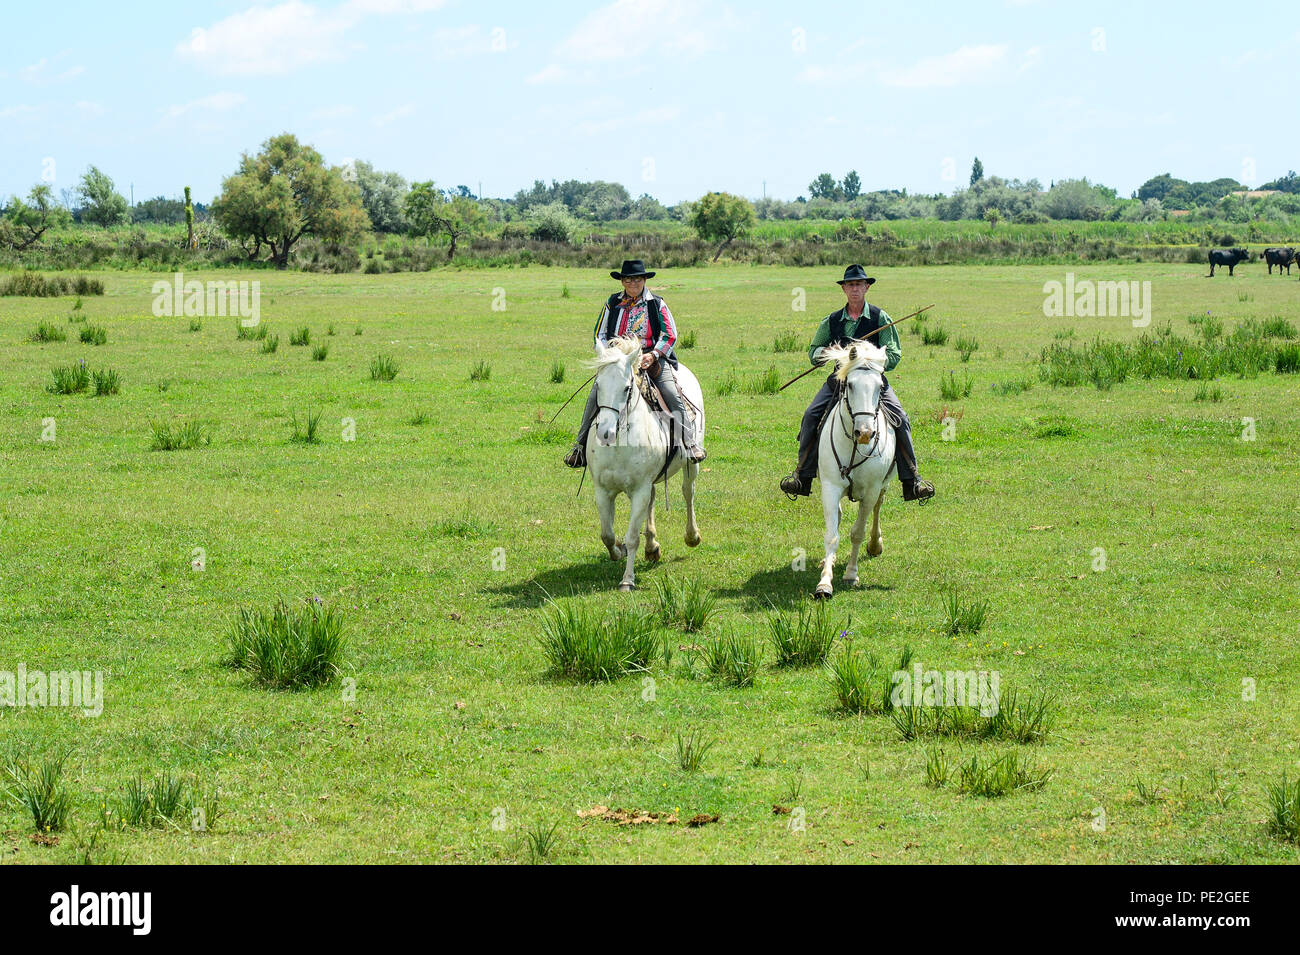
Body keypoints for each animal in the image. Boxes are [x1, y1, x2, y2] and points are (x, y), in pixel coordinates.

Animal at [587, 335, 702, 589]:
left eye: (627, 387)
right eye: (598, 385)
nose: (605, 433)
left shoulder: (639, 489)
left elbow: (632, 537)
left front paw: (627, 581)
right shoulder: (602, 490)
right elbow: (607, 534)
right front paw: (618, 551)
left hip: (691, 465)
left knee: (688, 492)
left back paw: (692, 536)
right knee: (653, 499)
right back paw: (652, 547)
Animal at [811, 343, 894, 597]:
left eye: (880, 386)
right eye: (849, 384)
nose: (865, 433)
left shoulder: (871, 491)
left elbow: (857, 533)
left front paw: (851, 574)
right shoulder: (830, 486)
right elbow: (832, 535)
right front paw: (824, 582)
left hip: (883, 486)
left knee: (878, 507)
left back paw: (875, 545)